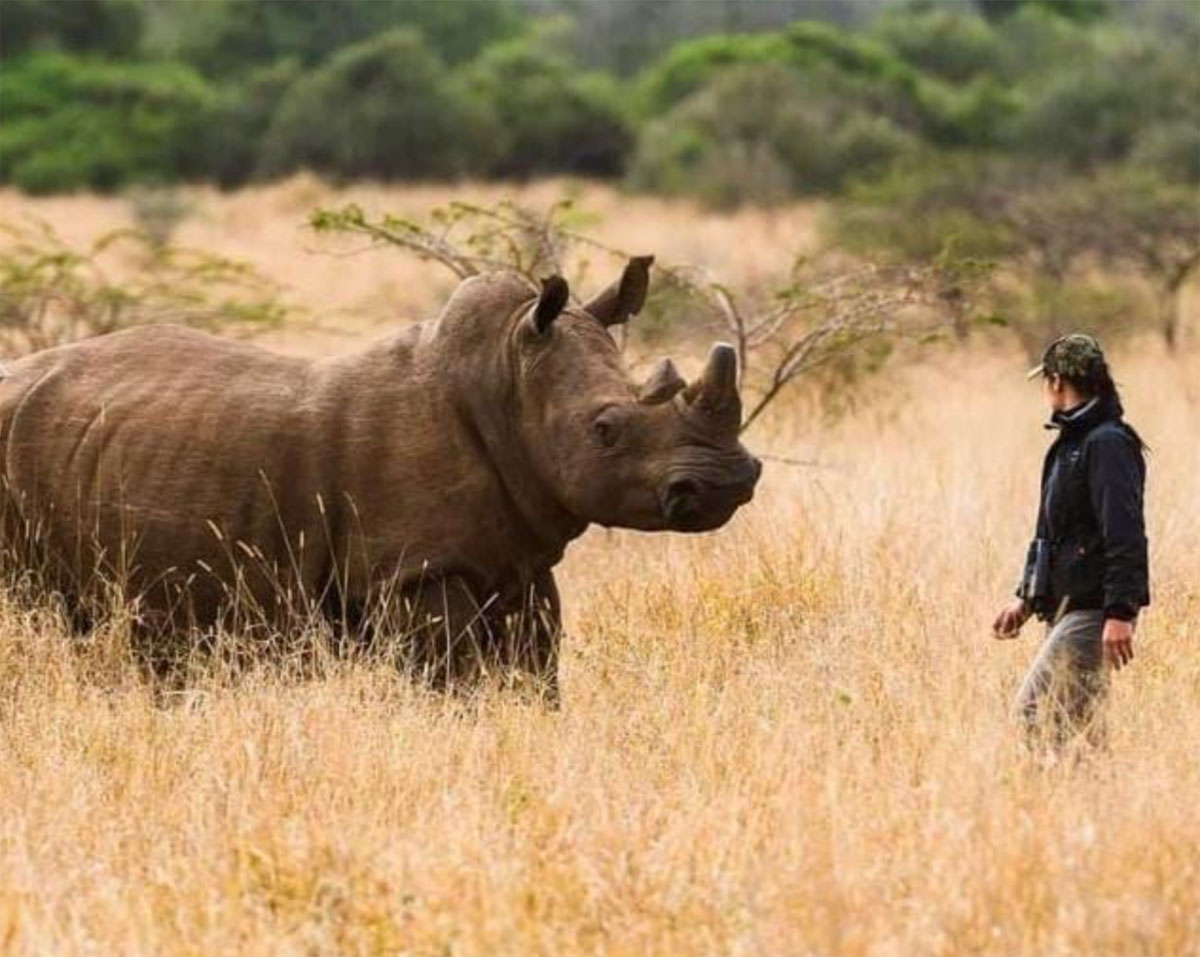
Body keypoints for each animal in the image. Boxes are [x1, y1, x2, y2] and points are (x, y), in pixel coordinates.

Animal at [0, 258, 760, 696]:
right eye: (605, 429)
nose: (727, 482)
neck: (505, 380)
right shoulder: (412, 570)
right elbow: (452, 678)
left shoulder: (516, 558)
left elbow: (535, 669)